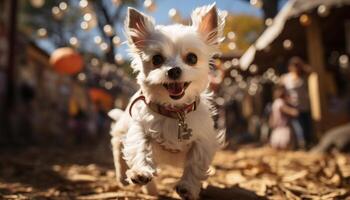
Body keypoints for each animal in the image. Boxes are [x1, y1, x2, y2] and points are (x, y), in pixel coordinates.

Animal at [108, 3, 224, 199]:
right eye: (157, 59)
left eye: (192, 58)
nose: (174, 70)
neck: (175, 112)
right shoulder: (140, 129)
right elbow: (141, 148)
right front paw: (141, 172)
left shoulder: (203, 140)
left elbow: (196, 164)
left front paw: (187, 187)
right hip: (122, 128)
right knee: (117, 147)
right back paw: (124, 178)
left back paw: (151, 190)